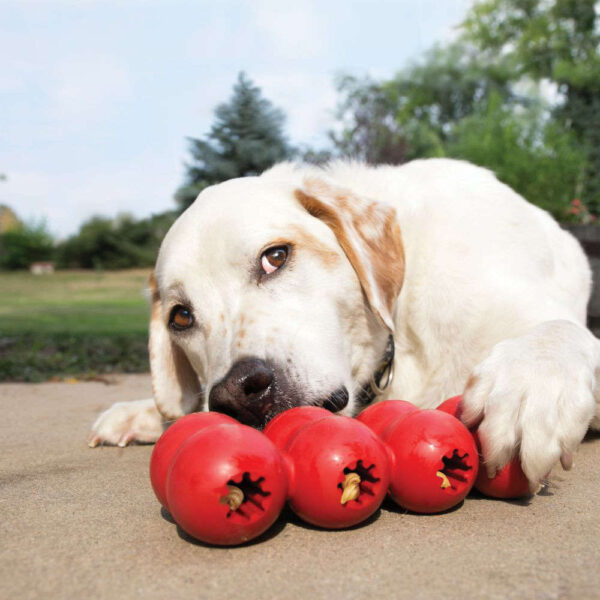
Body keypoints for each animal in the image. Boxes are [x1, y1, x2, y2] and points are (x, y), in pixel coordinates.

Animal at [88, 159, 600, 492]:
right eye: (181, 316)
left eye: (276, 256)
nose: (235, 393)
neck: (400, 333)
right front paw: (148, 412)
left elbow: (560, 333)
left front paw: (532, 386)